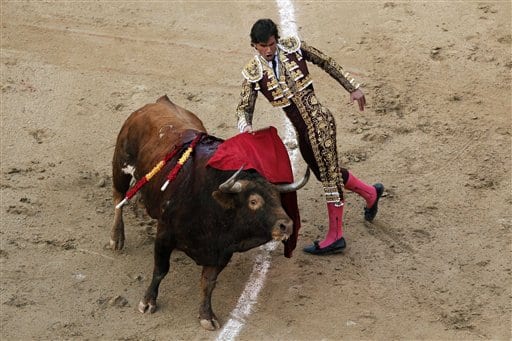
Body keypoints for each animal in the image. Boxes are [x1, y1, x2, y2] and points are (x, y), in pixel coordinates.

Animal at [110, 95, 308, 330]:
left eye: (278, 198)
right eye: (253, 201)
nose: (287, 225)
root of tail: (158, 102)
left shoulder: (221, 252)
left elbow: (208, 283)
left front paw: (206, 315)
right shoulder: (164, 236)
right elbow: (160, 270)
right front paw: (148, 302)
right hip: (121, 165)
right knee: (118, 199)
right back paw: (116, 238)